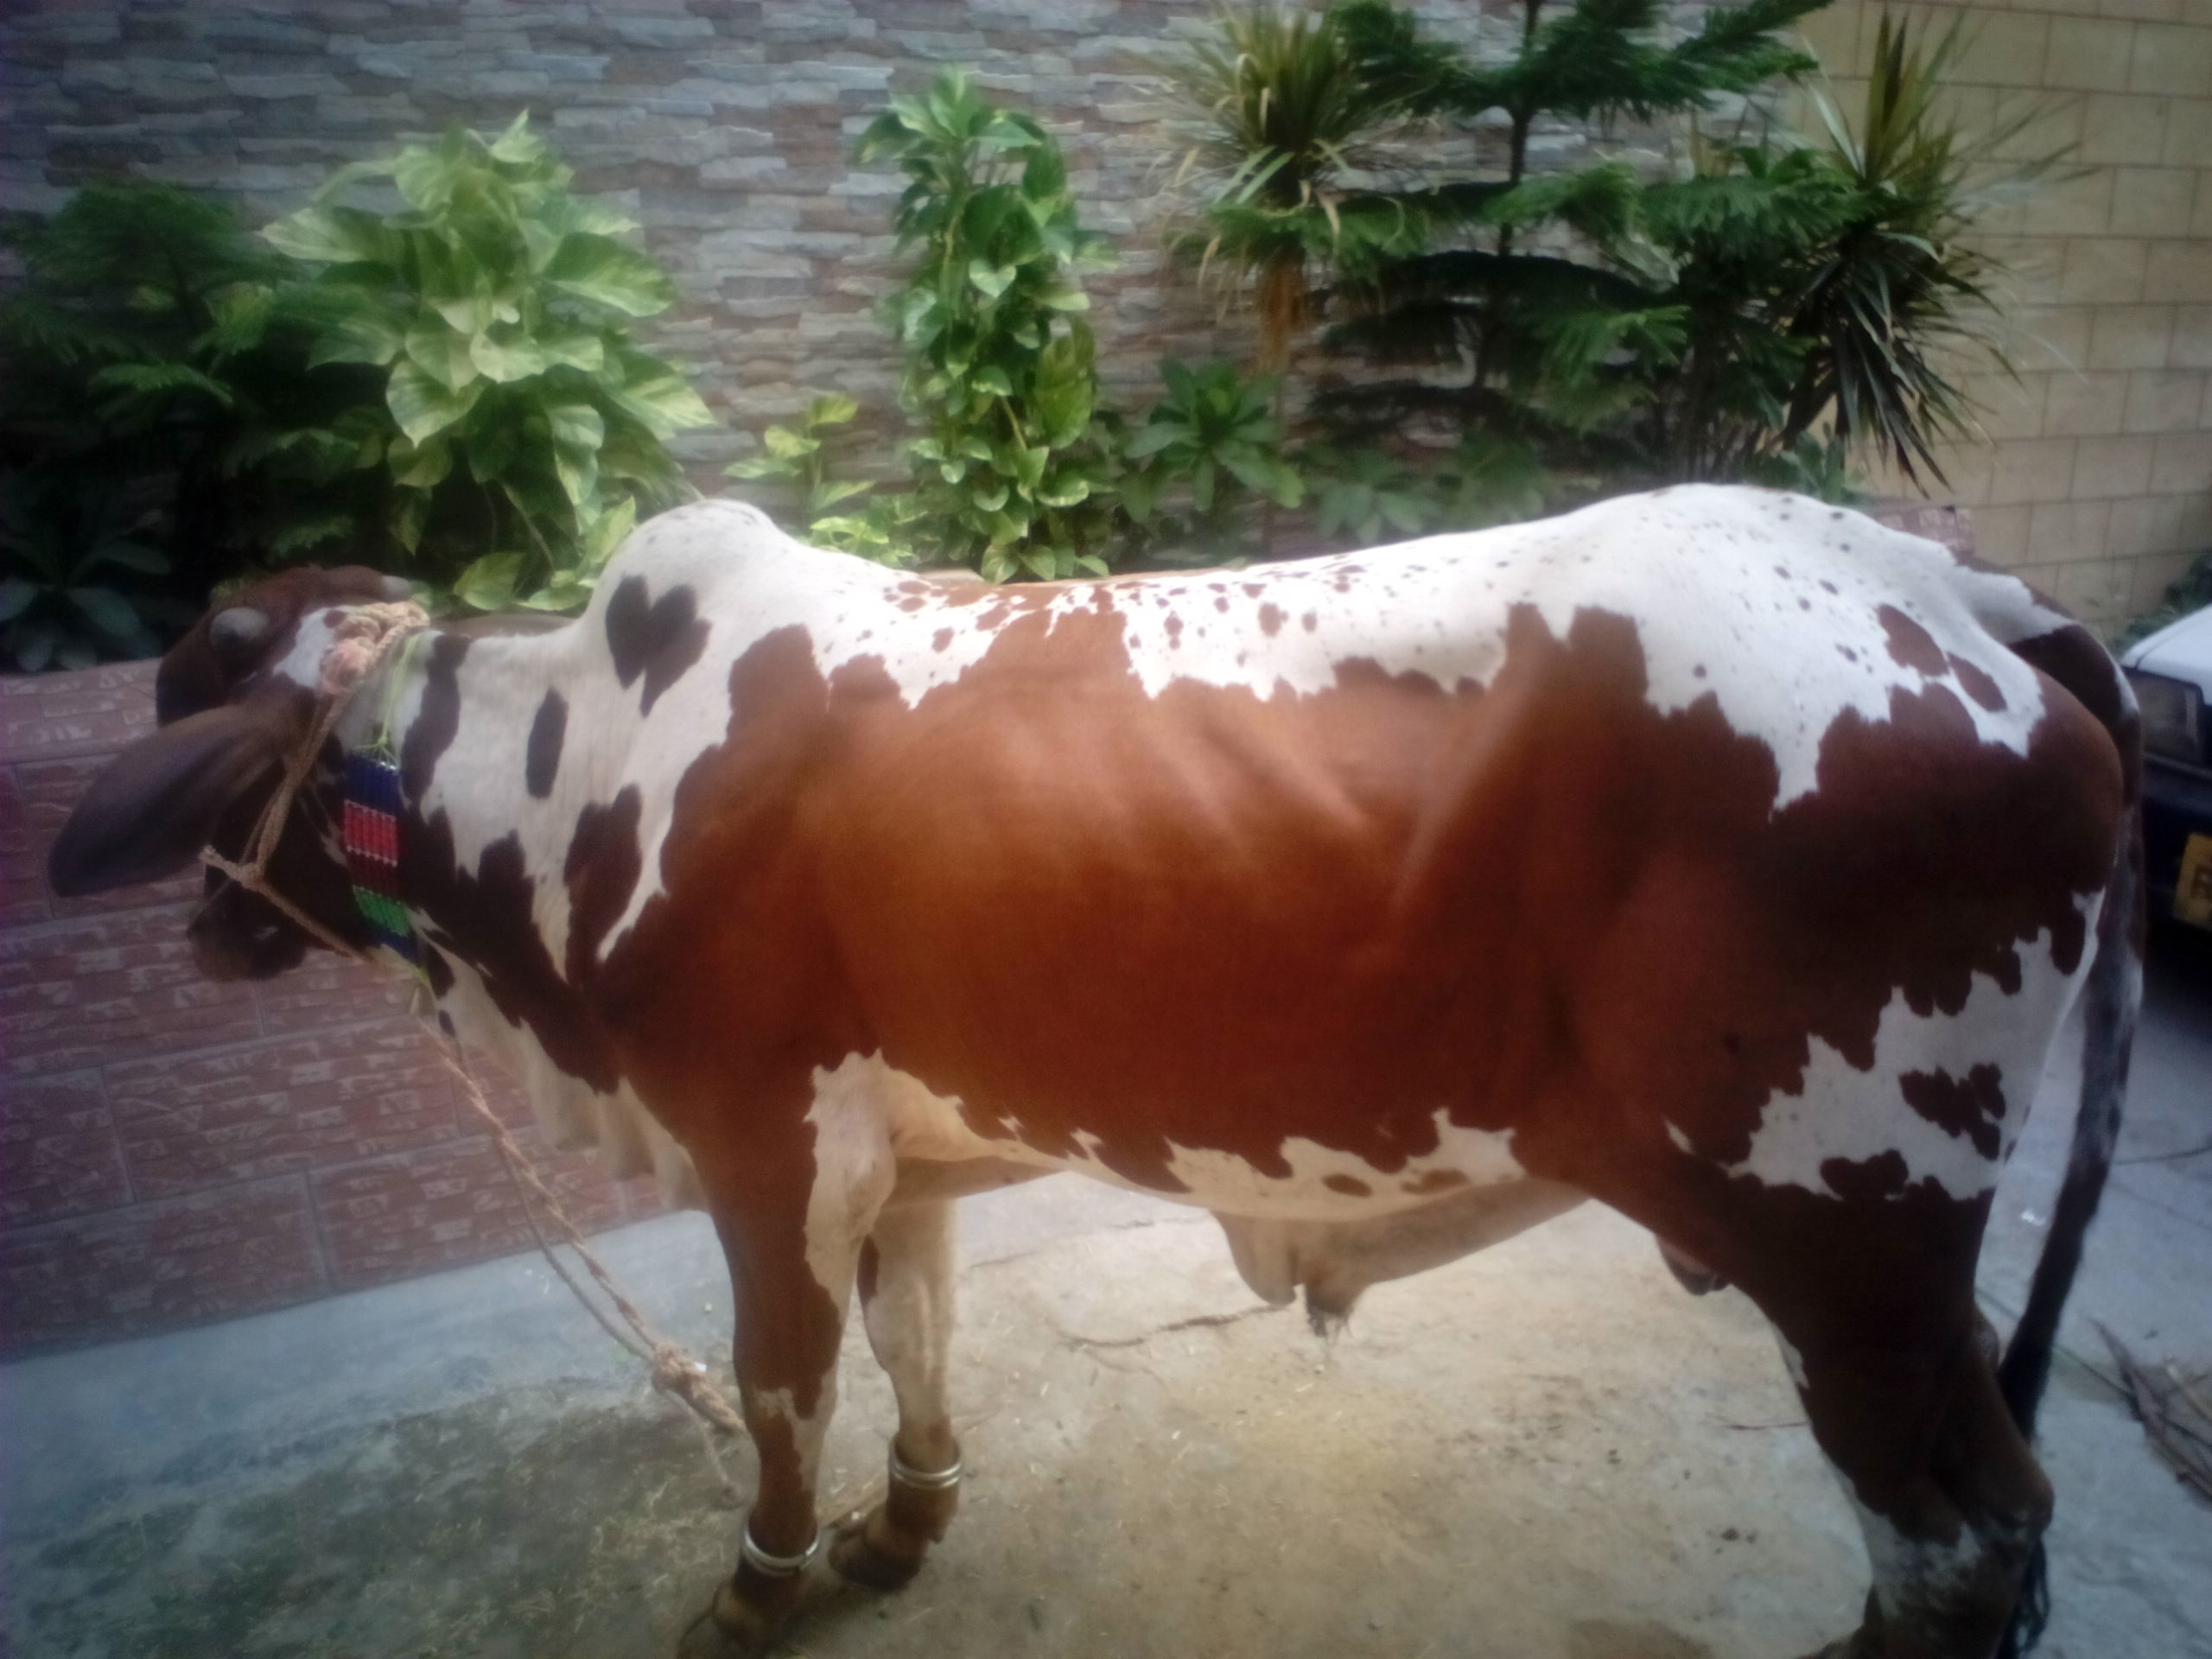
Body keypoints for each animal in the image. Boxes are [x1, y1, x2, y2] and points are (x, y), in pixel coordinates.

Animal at [49, 486, 2140, 1659]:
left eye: (199, 701)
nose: (203, 933)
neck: (582, 766)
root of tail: (1956, 589)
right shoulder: (895, 1154)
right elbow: (915, 1343)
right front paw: (906, 1525)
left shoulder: (757, 1145)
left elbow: (782, 1386)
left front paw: (764, 1581)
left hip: (1846, 1240)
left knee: (1964, 1540)